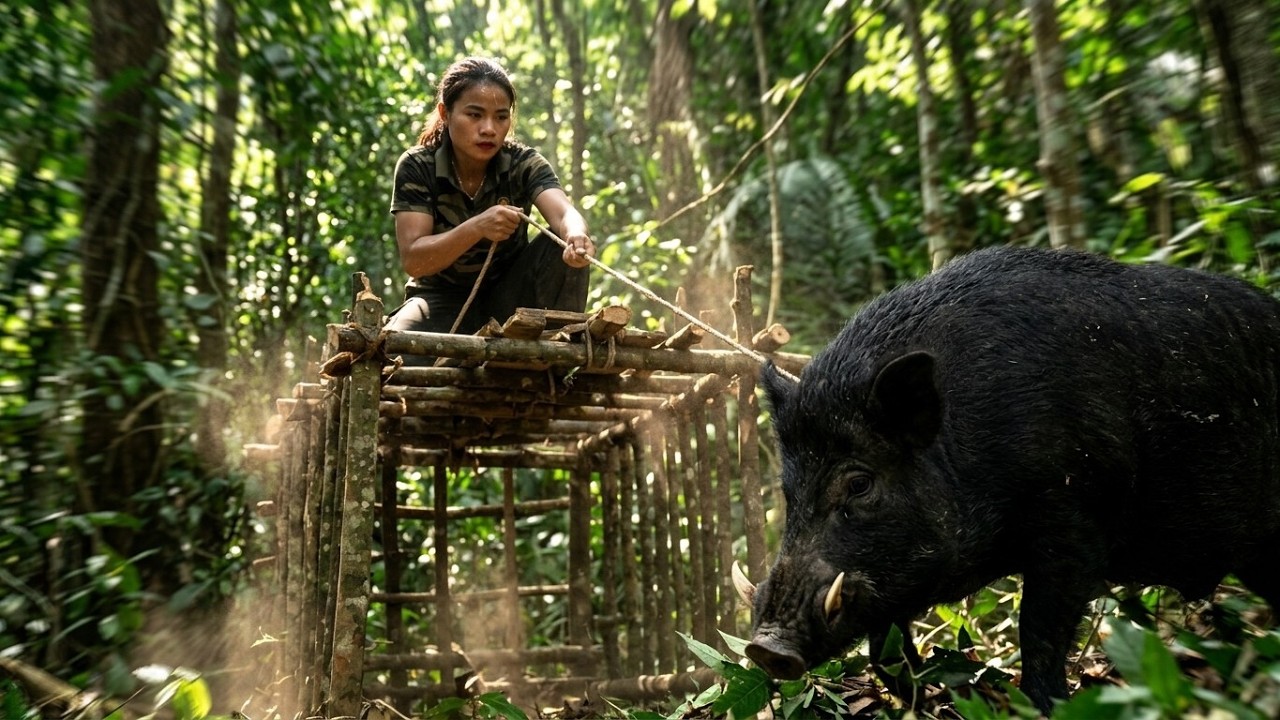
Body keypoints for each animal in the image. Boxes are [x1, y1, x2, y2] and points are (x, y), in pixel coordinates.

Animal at [739, 245, 1280, 714]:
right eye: (789, 492)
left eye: (859, 484)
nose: (766, 648)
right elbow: (886, 653)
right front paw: (928, 703)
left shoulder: (1073, 523)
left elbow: (1038, 633)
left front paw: (1049, 706)